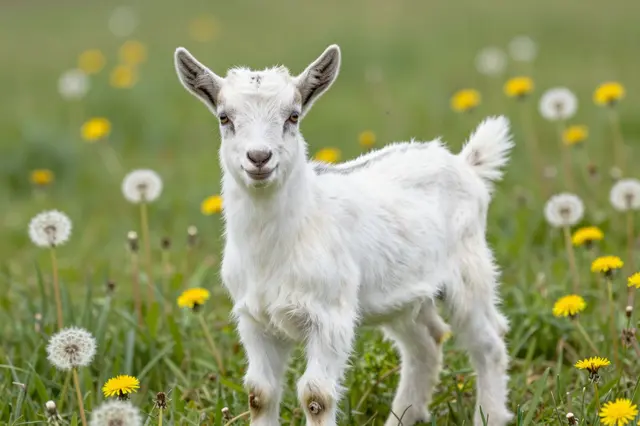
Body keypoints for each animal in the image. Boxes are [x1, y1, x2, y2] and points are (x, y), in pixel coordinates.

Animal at [175, 44, 513, 426]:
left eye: (293, 116)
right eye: (224, 118)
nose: (259, 157)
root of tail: (466, 163)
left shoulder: (330, 315)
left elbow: (316, 394)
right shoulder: (254, 318)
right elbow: (259, 393)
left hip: (469, 272)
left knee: (489, 343)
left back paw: (491, 414)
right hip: (403, 296)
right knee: (425, 344)